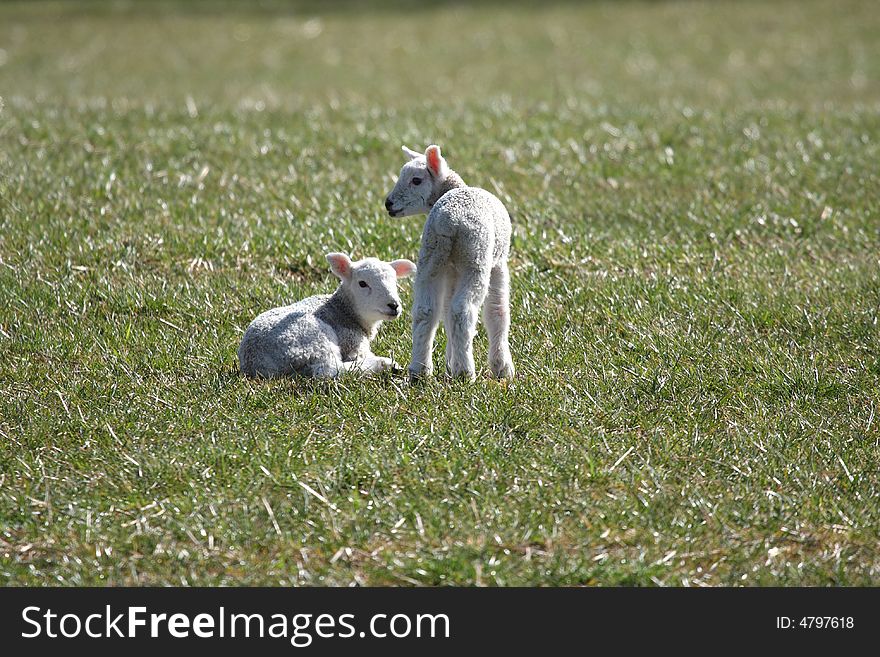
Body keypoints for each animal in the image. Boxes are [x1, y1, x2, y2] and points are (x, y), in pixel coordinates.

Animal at [237, 255, 416, 380]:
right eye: (362, 283)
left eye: (395, 282)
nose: (393, 305)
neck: (343, 310)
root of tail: (256, 364)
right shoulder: (351, 342)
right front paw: (389, 363)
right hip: (313, 338)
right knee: (327, 370)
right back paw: (385, 365)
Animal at [384, 144, 516, 380]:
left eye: (416, 180)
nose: (388, 203)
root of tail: (449, 221)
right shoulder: (498, 262)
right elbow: (497, 311)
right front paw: (502, 368)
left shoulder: (451, 270)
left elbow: (445, 311)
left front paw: (449, 363)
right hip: (476, 258)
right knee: (462, 311)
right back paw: (465, 372)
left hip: (431, 256)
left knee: (426, 311)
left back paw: (420, 371)